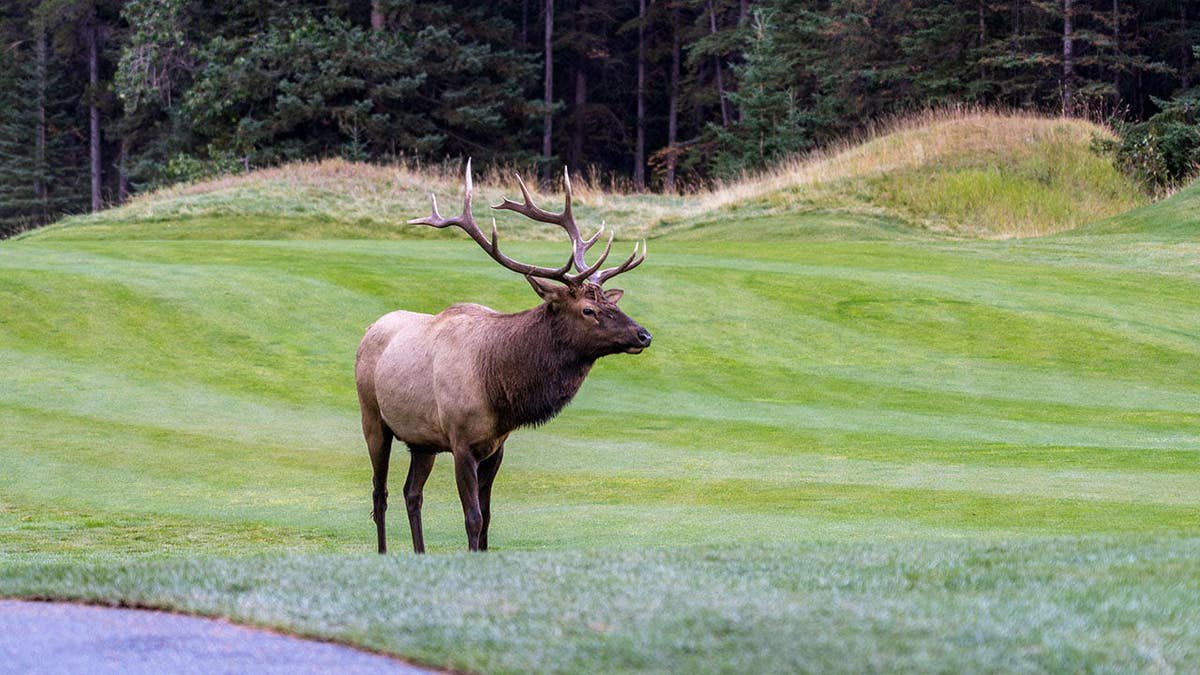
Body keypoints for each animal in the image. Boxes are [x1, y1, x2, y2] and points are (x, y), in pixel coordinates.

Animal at [355, 160, 651, 554]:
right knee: (381, 492)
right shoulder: (461, 441)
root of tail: (369, 328)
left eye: (610, 303)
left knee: (411, 493)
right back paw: (384, 551)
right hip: (373, 417)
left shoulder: (496, 447)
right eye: (588, 310)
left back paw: (419, 552)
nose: (644, 335)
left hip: (422, 439)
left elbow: (488, 519)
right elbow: (473, 517)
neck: (498, 387)